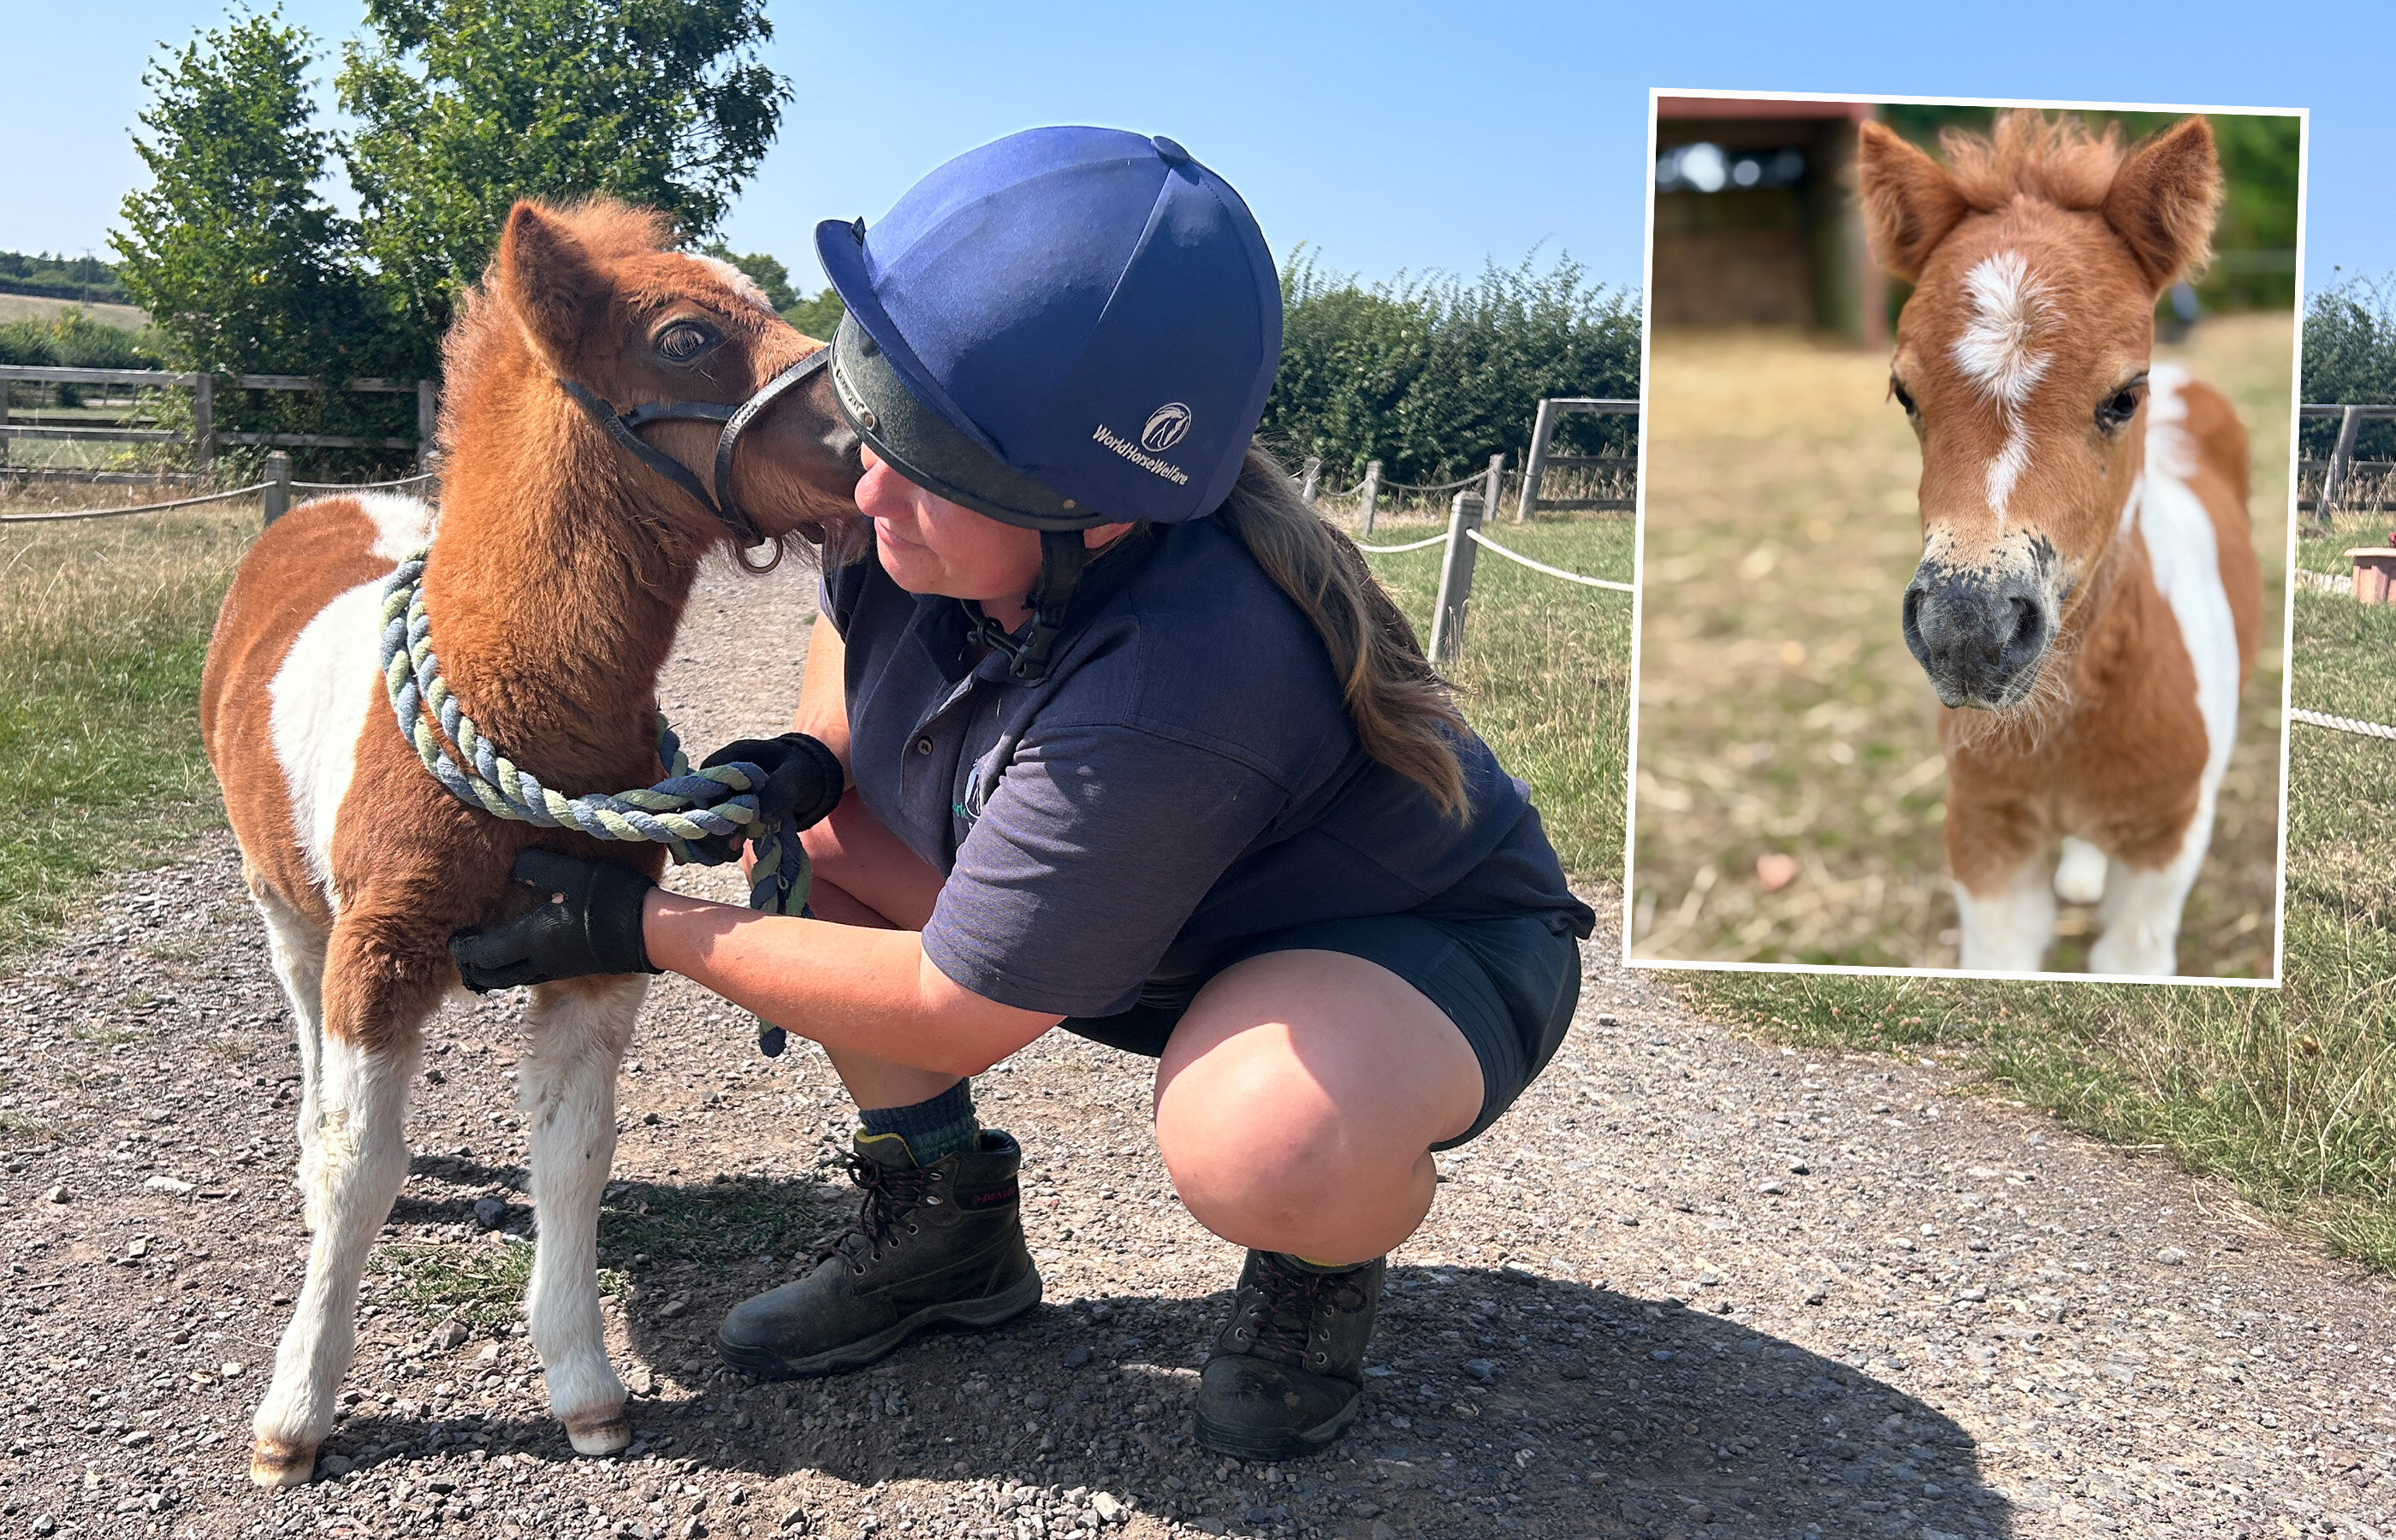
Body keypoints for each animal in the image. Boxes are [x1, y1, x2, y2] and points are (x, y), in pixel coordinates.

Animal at [199, 198, 859, 1485]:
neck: (518, 718)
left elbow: (572, 1156)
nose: (876, 443)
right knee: (301, 1014)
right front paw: (293, 1416)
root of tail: (324, 504)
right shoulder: (379, 954)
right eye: (687, 337)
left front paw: (586, 1388)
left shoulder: (591, 953)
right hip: (285, 898)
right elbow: (357, 1168)